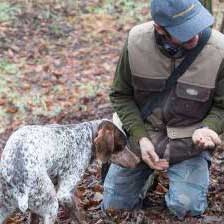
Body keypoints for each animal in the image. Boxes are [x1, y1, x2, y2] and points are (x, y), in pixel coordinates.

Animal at [0, 120, 140, 224]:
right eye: (121, 146)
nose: (138, 160)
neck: (87, 136)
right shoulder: (64, 194)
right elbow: (79, 216)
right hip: (52, 207)